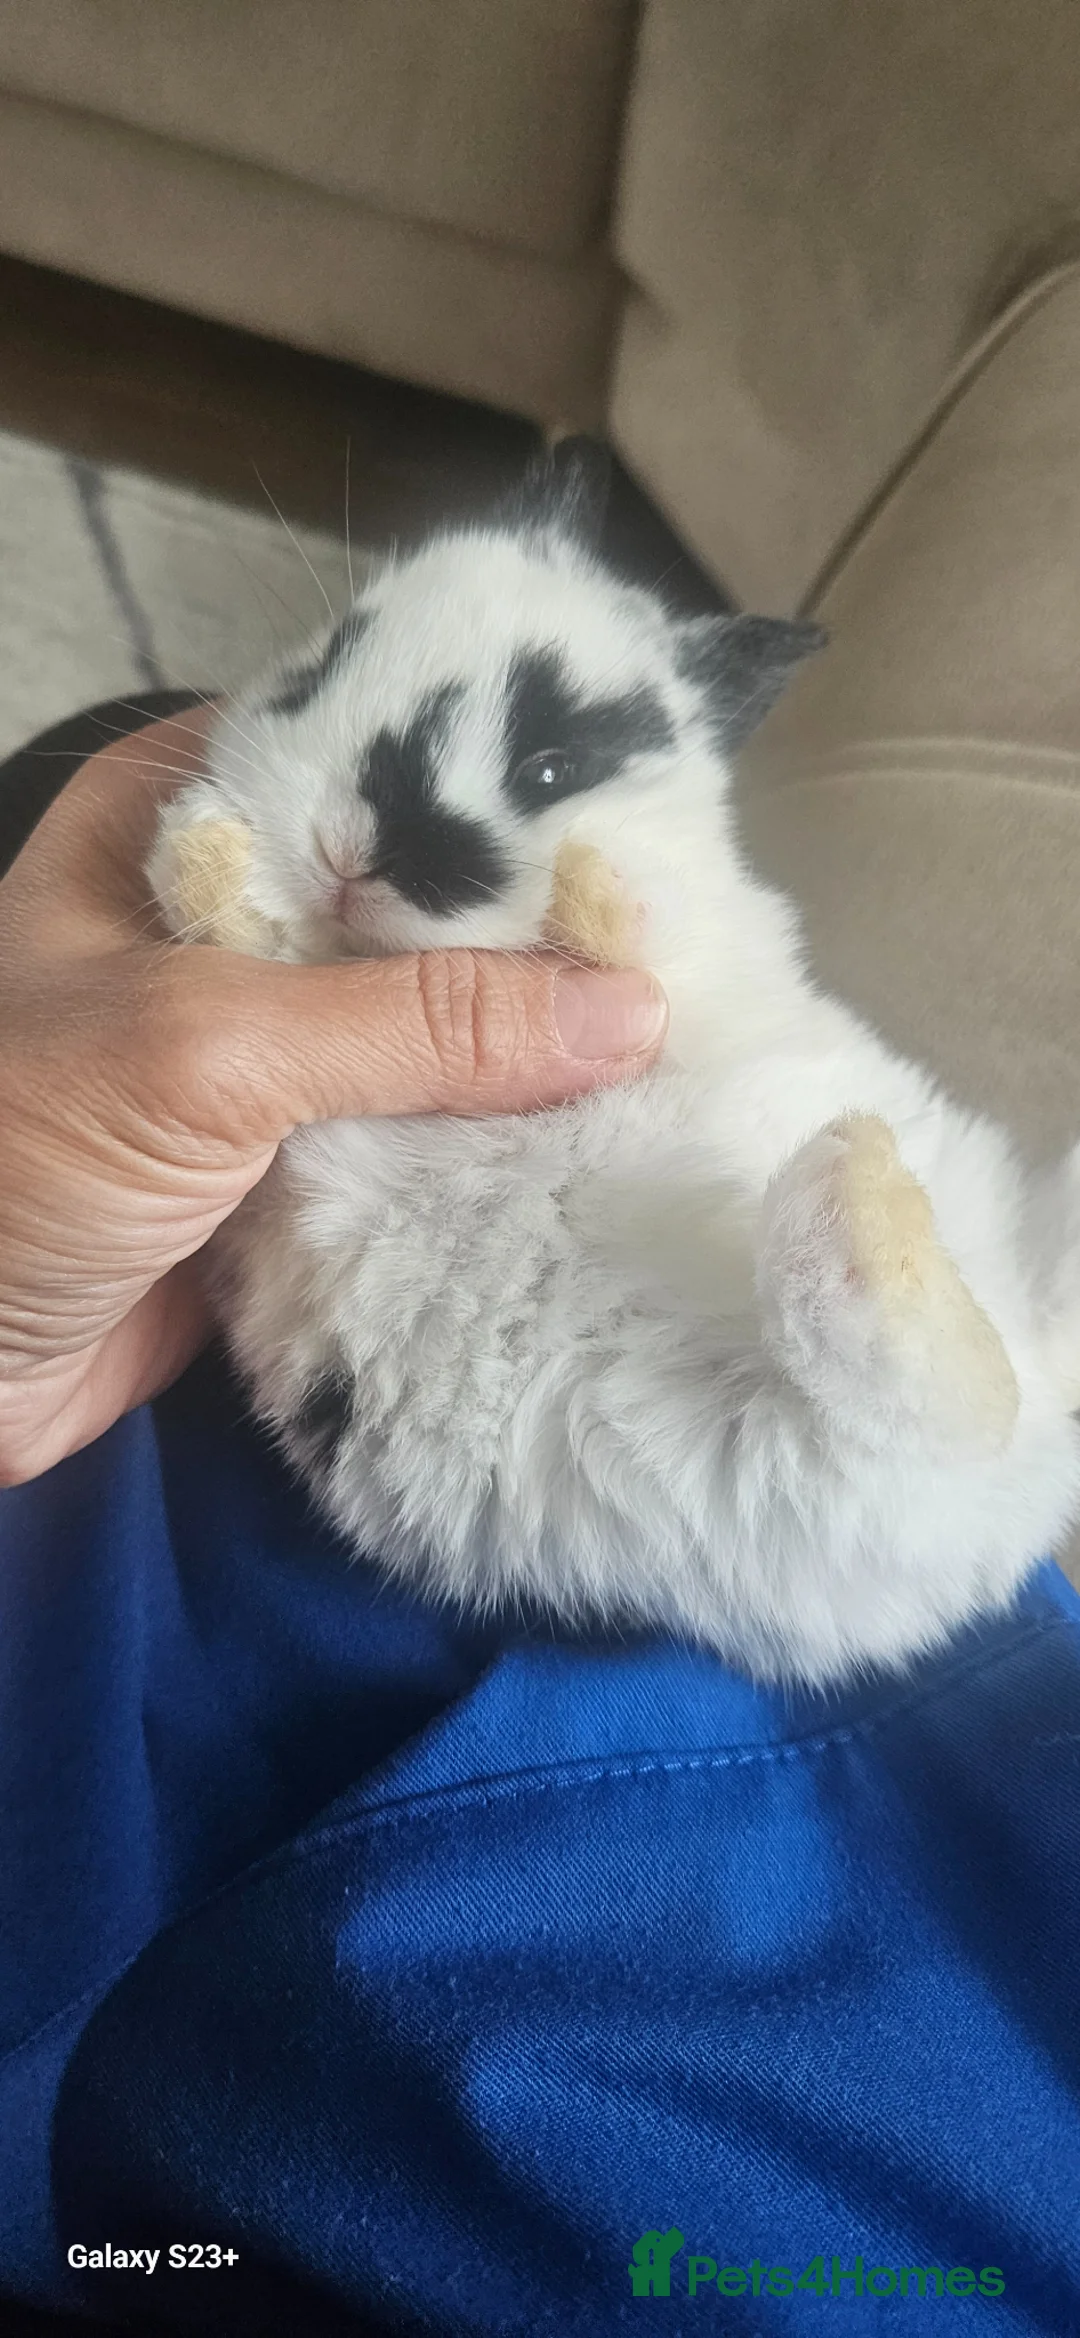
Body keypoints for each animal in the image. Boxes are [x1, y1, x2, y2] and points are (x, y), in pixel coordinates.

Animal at [147, 443, 1080, 1685]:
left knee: (941, 1394)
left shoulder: (695, 961)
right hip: (773, 1454)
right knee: (927, 1390)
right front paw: (202, 850)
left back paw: (857, 1177)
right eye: (328, 660)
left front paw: (590, 886)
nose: (353, 850)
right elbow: (239, 934)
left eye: (553, 769)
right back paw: (859, 1198)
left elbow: (646, 938)